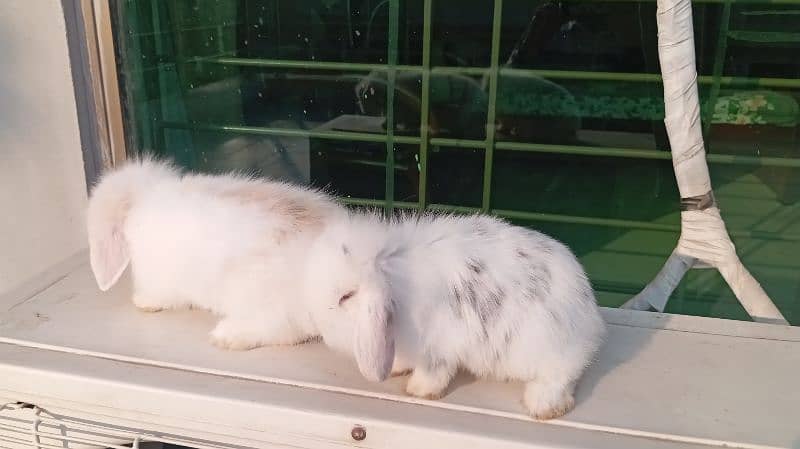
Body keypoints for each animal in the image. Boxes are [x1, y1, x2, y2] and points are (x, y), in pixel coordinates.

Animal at [306, 212, 608, 418]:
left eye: (346, 297)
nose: (318, 325)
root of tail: (588, 310)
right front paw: (396, 369)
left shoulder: (438, 349)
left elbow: (434, 374)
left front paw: (418, 391)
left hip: (549, 349)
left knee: (561, 378)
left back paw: (541, 406)